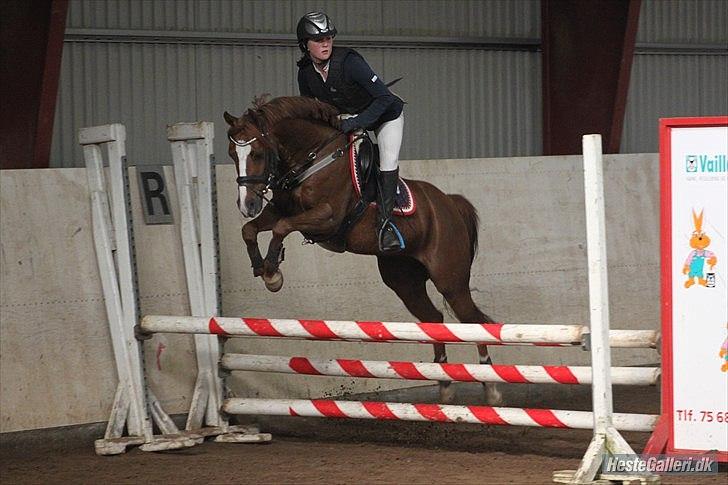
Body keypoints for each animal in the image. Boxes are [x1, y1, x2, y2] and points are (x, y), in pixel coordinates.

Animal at [223, 95, 501, 405]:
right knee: (434, 319)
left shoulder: (326, 217)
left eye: (258, 154)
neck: (312, 159)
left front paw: (272, 272)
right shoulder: (279, 210)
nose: (247, 205)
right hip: (404, 280)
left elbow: (282, 228)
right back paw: (444, 382)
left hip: (450, 280)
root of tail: (450, 203)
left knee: (473, 321)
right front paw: (263, 268)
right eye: (232, 154)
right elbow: (250, 230)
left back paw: (490, 385)